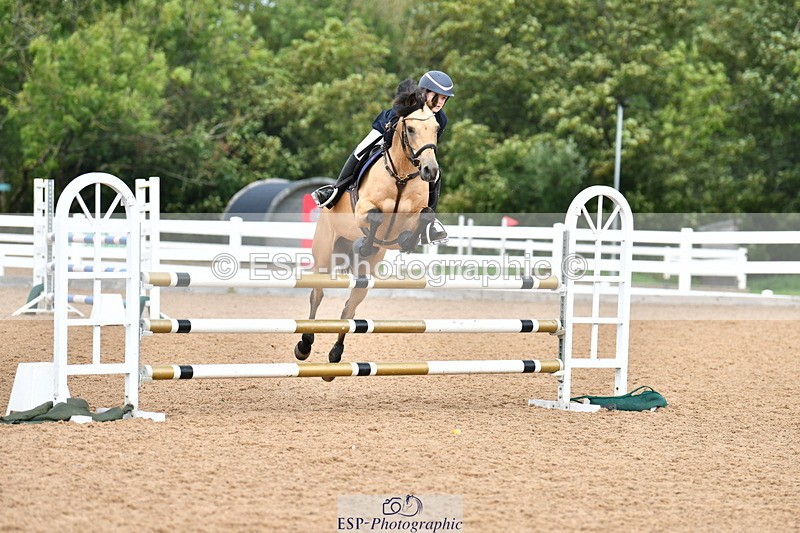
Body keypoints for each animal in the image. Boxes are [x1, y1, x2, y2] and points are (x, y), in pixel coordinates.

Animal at [294, 81, 440, 369]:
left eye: (436, 129)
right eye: (410, 129)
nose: (430, 170)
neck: (401, 177)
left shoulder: (410, 217)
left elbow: (423, 216)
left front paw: (408, 241)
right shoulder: (363, 208)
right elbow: (373, 217)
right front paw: (364, 242)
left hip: (365, 274)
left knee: (349, 308)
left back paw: (335, 354)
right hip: (325, 256)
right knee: (317, 295)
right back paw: (304, 345)